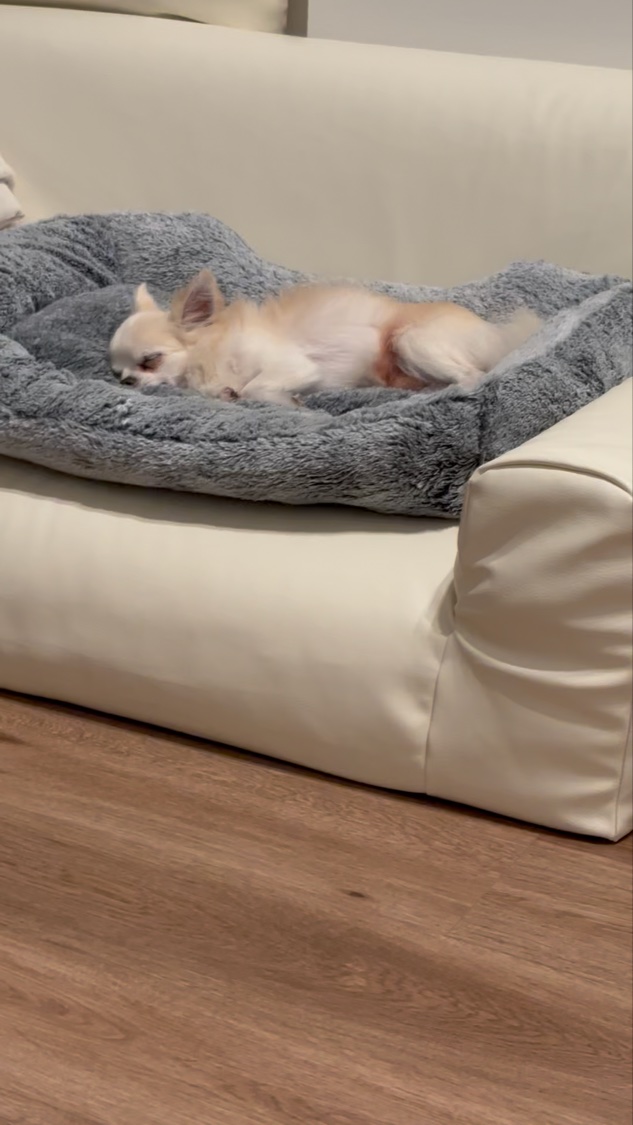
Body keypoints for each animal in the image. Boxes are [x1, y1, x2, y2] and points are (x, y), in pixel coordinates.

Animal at [109, 270, 541, 406]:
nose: (127, 382)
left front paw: (292, 403)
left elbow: (254, 387)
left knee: (472, 377)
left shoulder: (293, 365)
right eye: (117, 374)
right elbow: (237, 392)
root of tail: (496, 334)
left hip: (412, 340)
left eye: (150, 360)